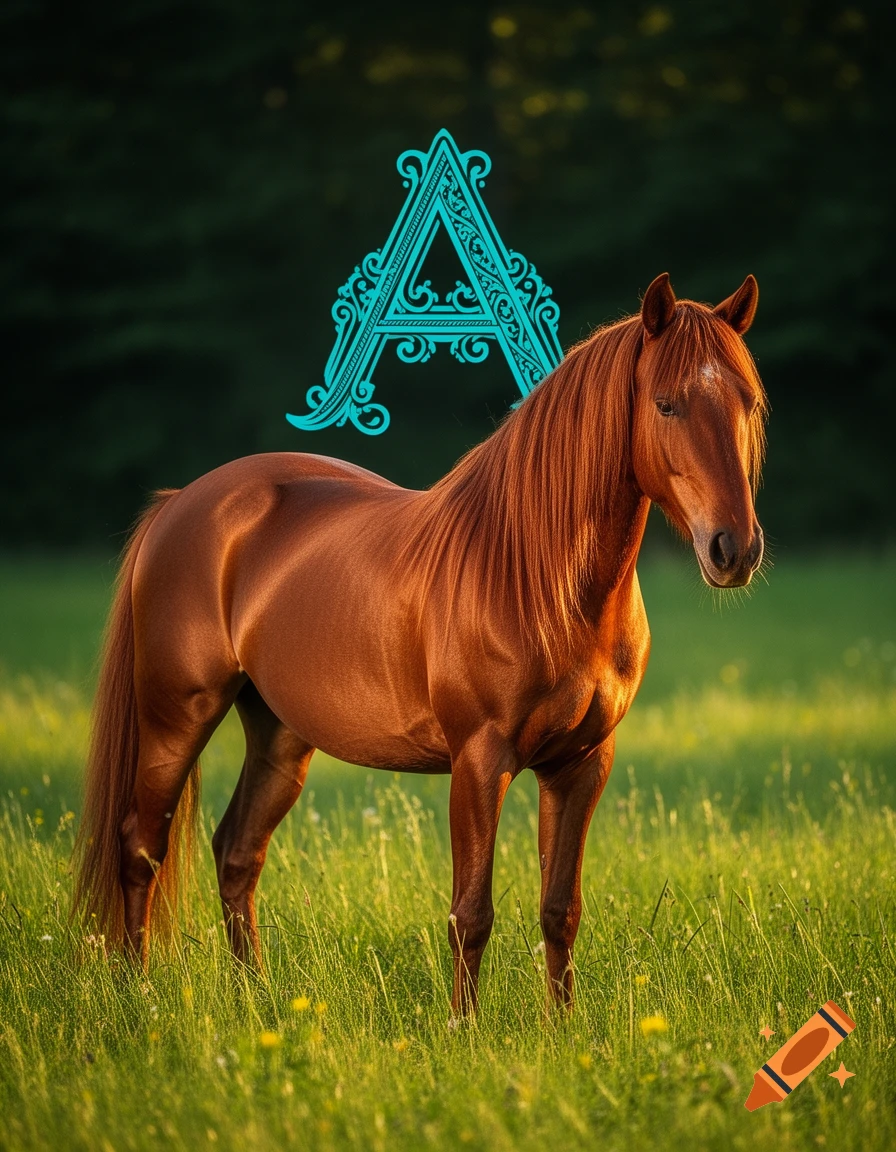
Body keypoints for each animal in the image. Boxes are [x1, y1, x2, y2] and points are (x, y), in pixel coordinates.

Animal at [73, 272, 767, 1015]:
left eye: (747, 401)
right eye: (665, 404)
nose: (734, 549)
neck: (536, 575)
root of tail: (180, 502)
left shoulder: (581, 764)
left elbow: (560, 910)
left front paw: (564, 1028)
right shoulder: (479, 762)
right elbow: (472, 913)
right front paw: (466, 1029)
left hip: (280, 735)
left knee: (237, 852)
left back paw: (257, 998)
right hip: (177, 716)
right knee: (140, 847)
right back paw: (137, 995)